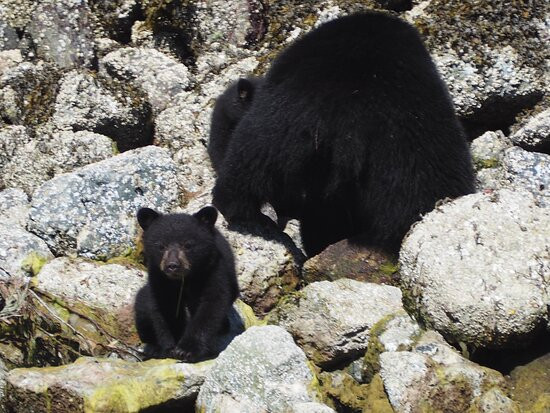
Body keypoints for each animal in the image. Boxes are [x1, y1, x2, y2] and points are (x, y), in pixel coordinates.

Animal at [135, 206, 239, 360]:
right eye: (161, 246)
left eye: (188, 245)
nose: (172, 265)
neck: (184, 280)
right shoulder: (159, 278)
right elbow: (164, 307)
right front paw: (170, 347)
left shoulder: (212, 270)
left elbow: (212, 304)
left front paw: (187, 349)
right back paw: (153, 348)